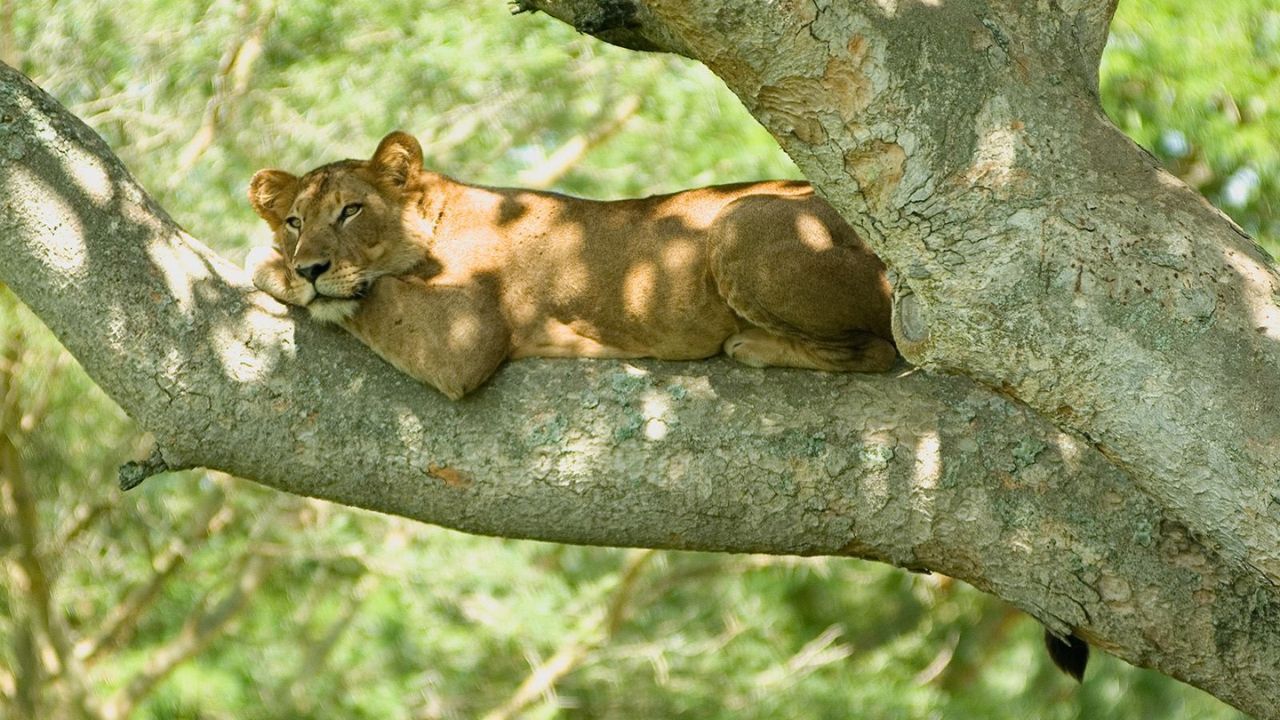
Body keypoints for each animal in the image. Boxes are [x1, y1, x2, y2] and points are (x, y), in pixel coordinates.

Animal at [245, 131, 895, 400]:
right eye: (294, 221)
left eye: (351, 210)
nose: (310, 267)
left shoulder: (465, 342)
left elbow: (376, 299)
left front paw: (269, 264)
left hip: (740, 221)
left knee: (878, 351)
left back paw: (752, 345)